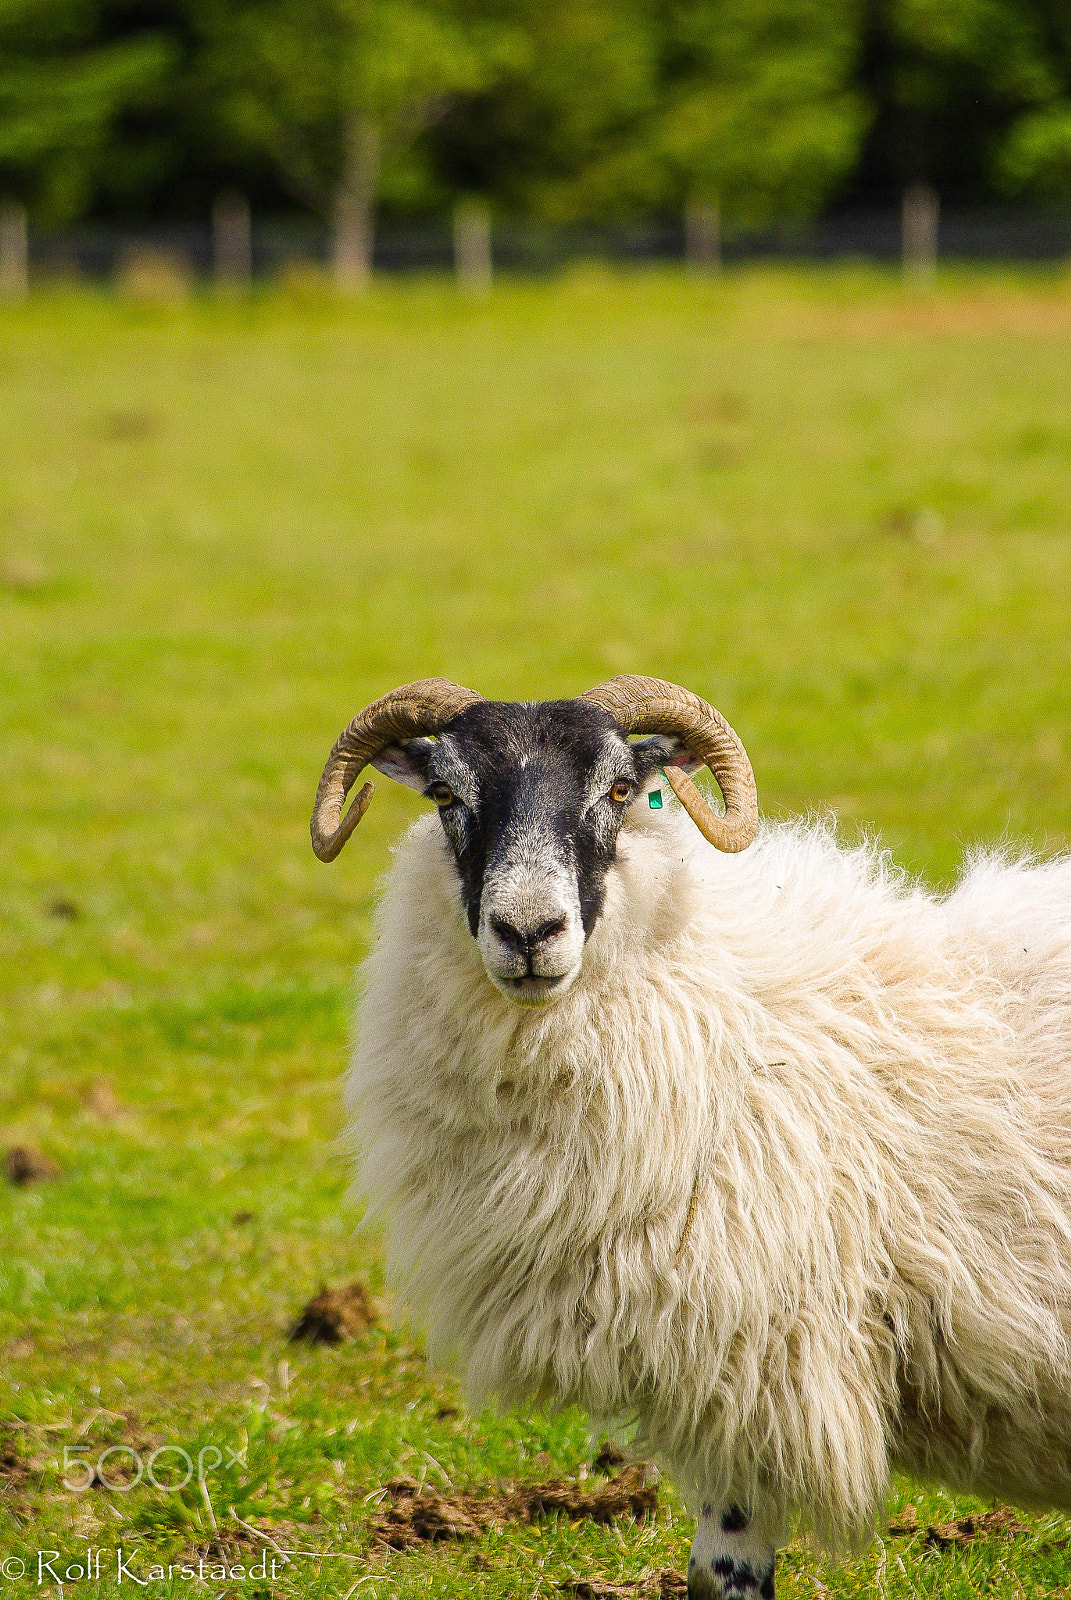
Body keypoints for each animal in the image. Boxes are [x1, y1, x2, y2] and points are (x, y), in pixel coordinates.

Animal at [307, 678, 1069, 1600]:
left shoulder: (758, 1371)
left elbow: (724, 1568)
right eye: (446, 795)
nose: (527, 932)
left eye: (619, 790)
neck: (728, 1017)